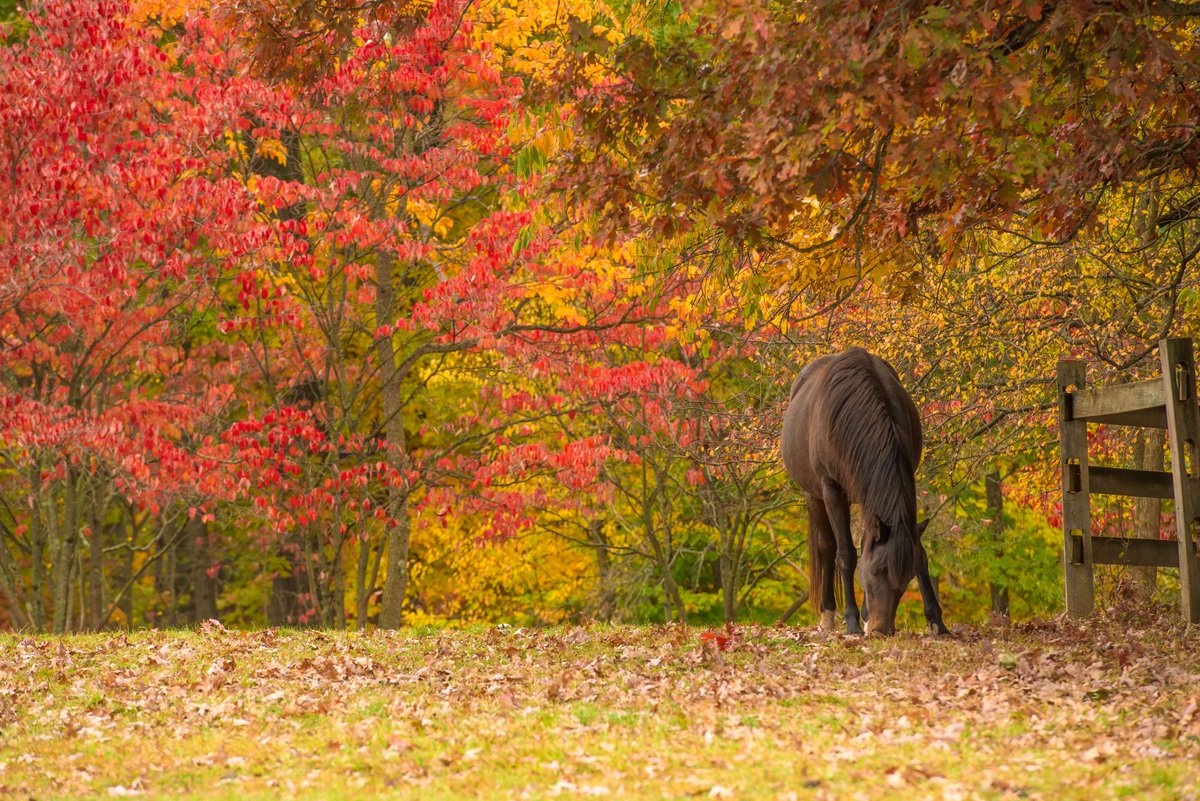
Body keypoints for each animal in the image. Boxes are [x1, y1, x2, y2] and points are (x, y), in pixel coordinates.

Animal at [780, 347, 948, 636]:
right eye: (879, 569)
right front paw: (852, 622)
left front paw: (937, 621)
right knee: (827, 547)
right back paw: (829, 615)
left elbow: (919, 552)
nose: (883, 630)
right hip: (815, 496)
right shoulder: (833, 491)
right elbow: (846, 554)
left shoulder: (905, 483)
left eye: (907, 577)